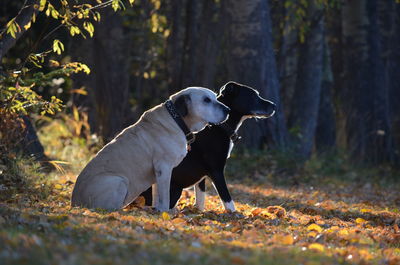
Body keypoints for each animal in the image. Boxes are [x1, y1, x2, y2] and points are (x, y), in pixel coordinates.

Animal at [140, 81, 276, 211]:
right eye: (253, 96)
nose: (274, 105)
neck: (220, 126)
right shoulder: (216, 170)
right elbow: (228, 200)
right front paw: (235, 215)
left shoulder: (202, 177)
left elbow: (200, 201)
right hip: (175, 189)